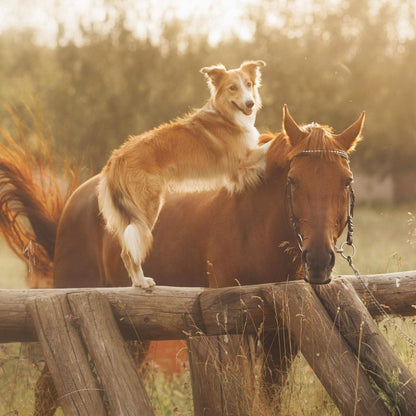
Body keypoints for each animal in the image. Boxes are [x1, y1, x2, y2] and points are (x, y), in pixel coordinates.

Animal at [0, 106, 364, 412]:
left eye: (346, 181)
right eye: (293, 180)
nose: (319, 260)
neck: (254, 224)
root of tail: (80, 198)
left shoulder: (282, 340)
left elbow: (269, 401)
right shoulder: (234, 331)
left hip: (132, 332)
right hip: (67, 308)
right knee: (47, 390)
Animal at [97, 60, 270, 288]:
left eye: (249, 84)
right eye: (233, 88)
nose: (250, 103)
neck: (225, 116)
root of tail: (116, 158)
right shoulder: (242, 162)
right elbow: (270, 145)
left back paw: (137, 282)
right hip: (147, 208)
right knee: (128, 253)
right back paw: (143, 282)